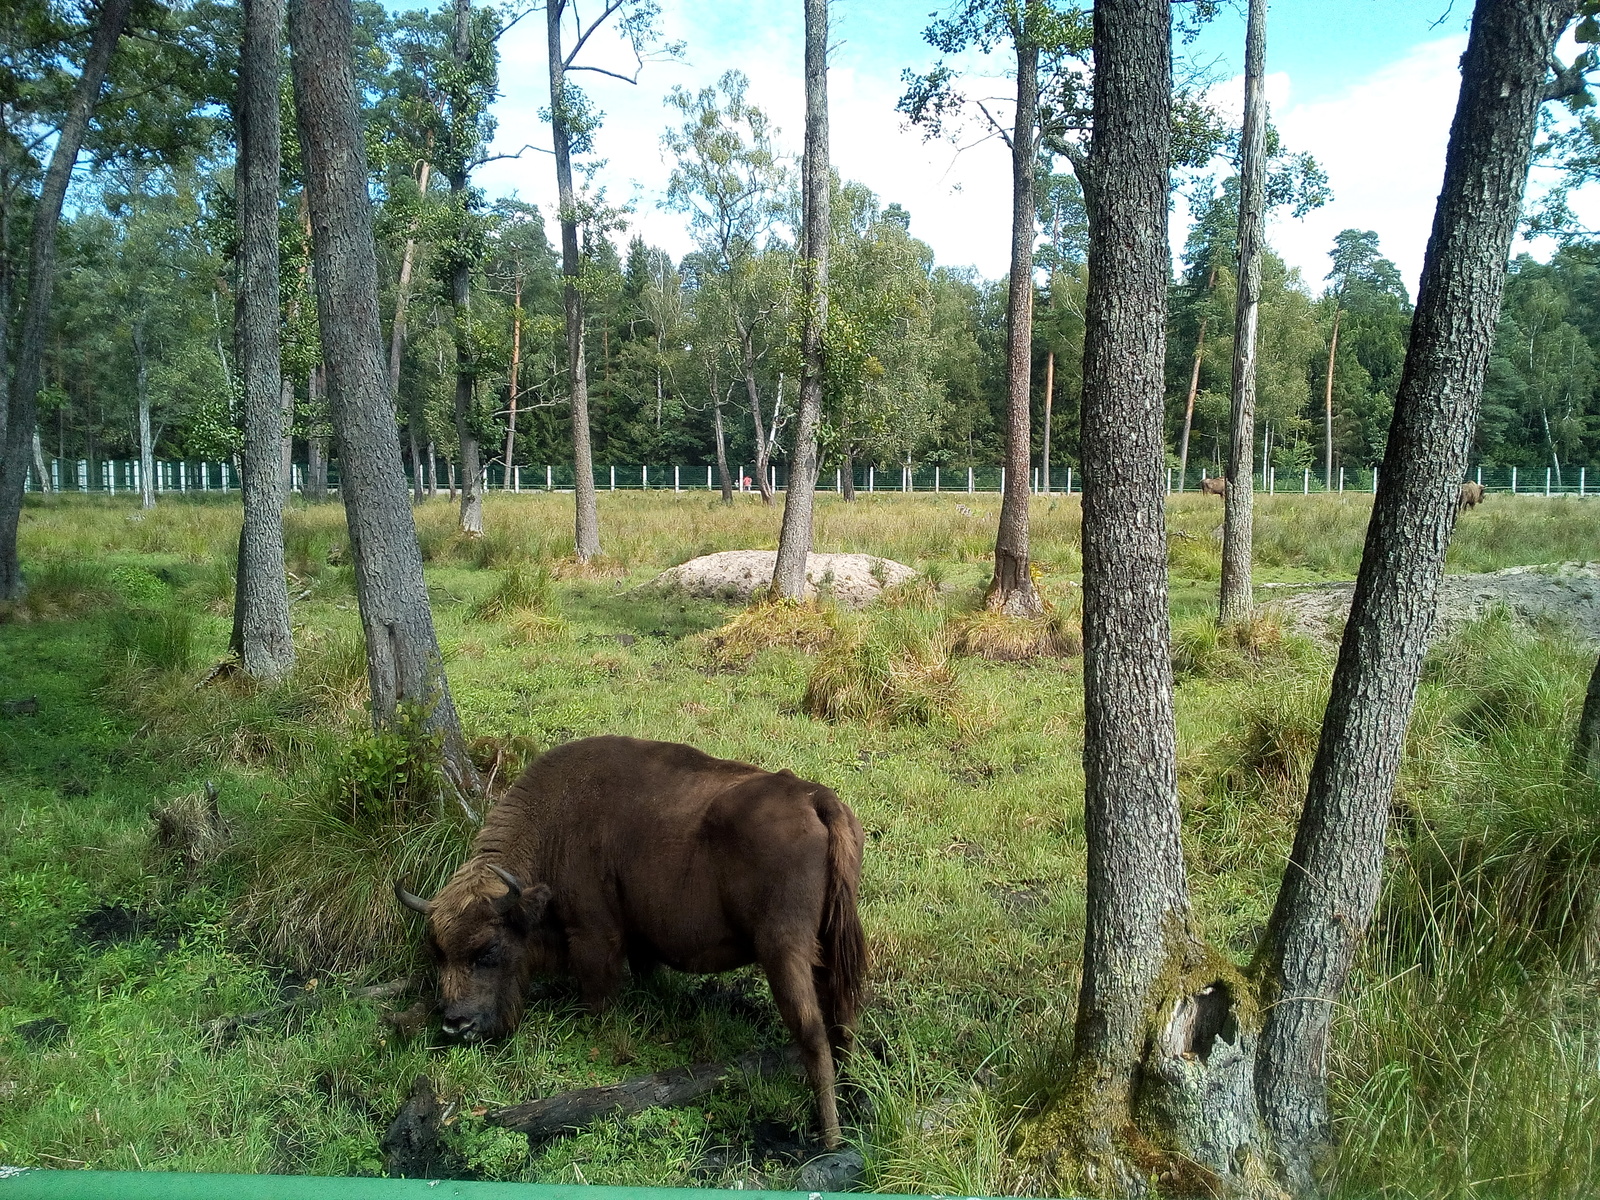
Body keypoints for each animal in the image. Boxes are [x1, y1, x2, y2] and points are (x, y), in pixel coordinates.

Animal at [398, 739, 870, 1152]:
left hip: (783, 951)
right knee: (844, 1018)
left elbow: (596, 994)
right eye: (437, 952)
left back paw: (830, 1137)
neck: (554, 822)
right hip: (830, 944)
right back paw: (853, 1097)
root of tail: (817, 799)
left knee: (812, 1031)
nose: (455, 1024)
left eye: (489, 950)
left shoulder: (593, 936)